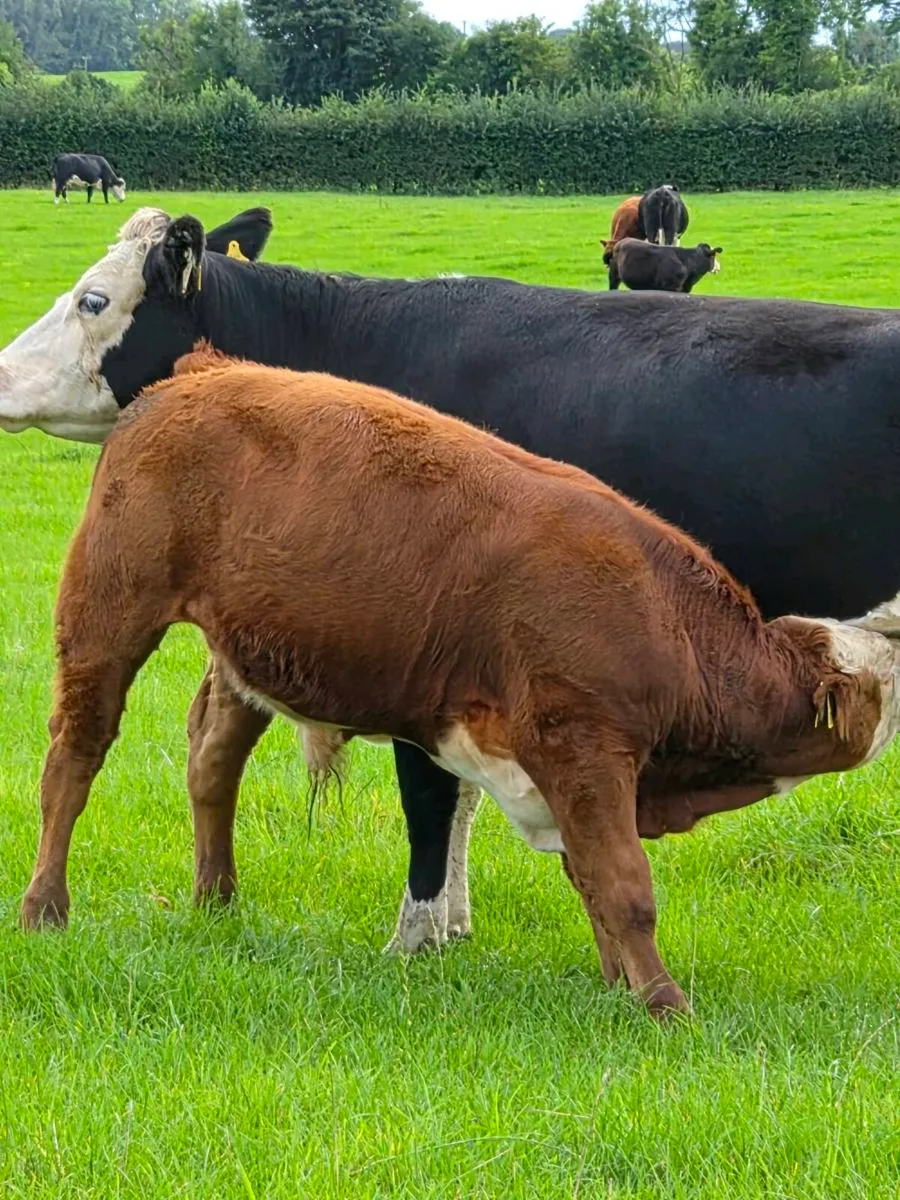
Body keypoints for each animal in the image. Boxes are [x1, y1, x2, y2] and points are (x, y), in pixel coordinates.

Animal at [5, 207, 900, 960]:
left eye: (92, 300)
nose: (2, 376)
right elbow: (461, 795)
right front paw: (454, 923)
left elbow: (432, 798)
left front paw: (419, 933)